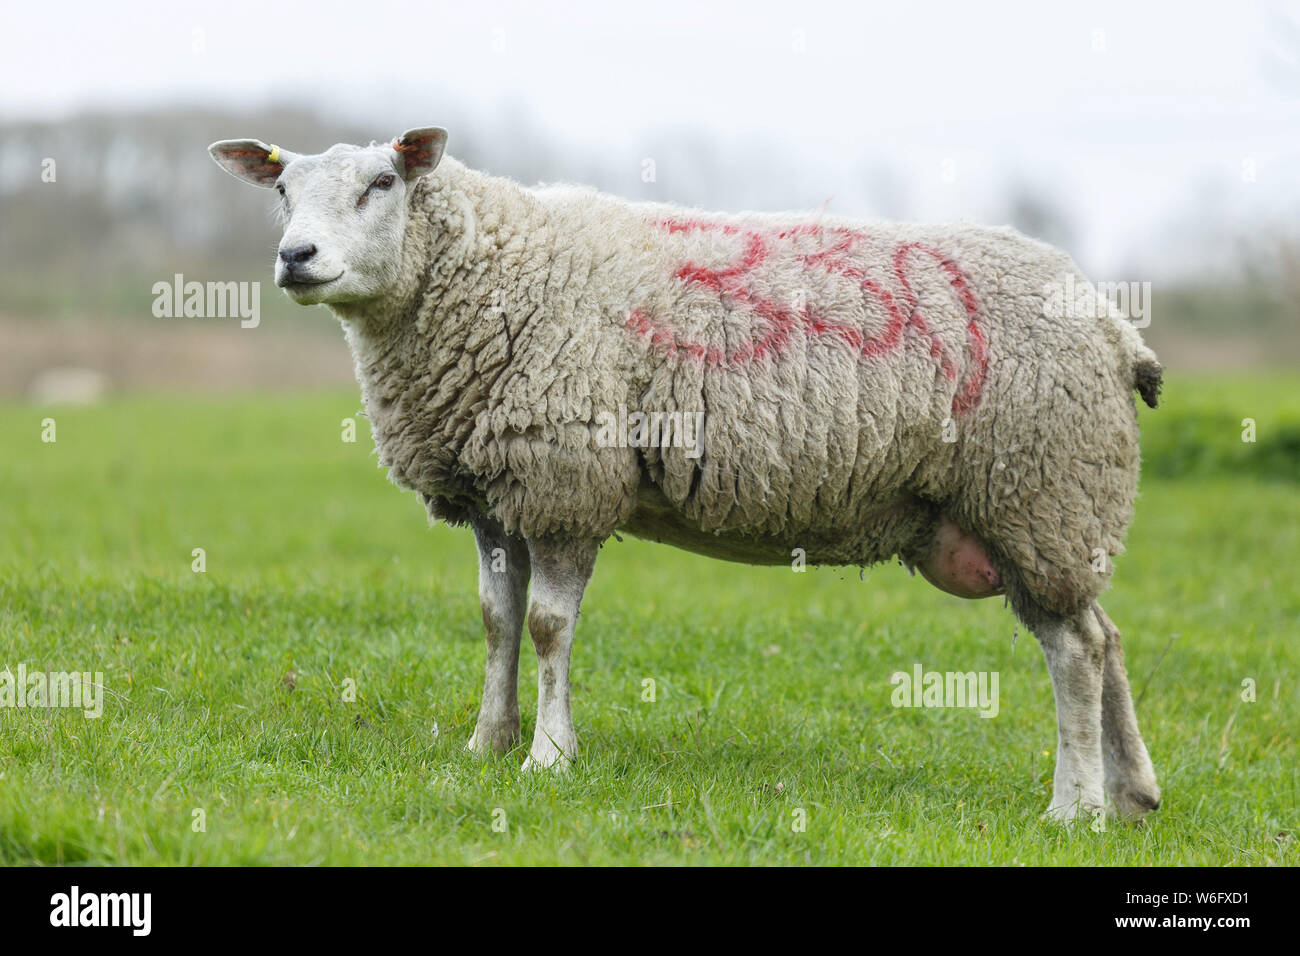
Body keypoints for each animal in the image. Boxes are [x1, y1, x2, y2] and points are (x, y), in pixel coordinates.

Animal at [209, 127, 1163, 821]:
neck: (487, 274)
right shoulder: (495, 496)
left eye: (382, 183)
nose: (296, 257)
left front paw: (549, 757)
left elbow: (549, 627)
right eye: (284, 191)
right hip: (1041, 515)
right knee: (1105, 636)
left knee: (1077, 651)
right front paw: (487, 742)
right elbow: (496, 622)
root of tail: (1116, 327)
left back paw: (1072, 809)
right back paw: (1132, 796)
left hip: (1042, 490)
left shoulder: (567, 482)